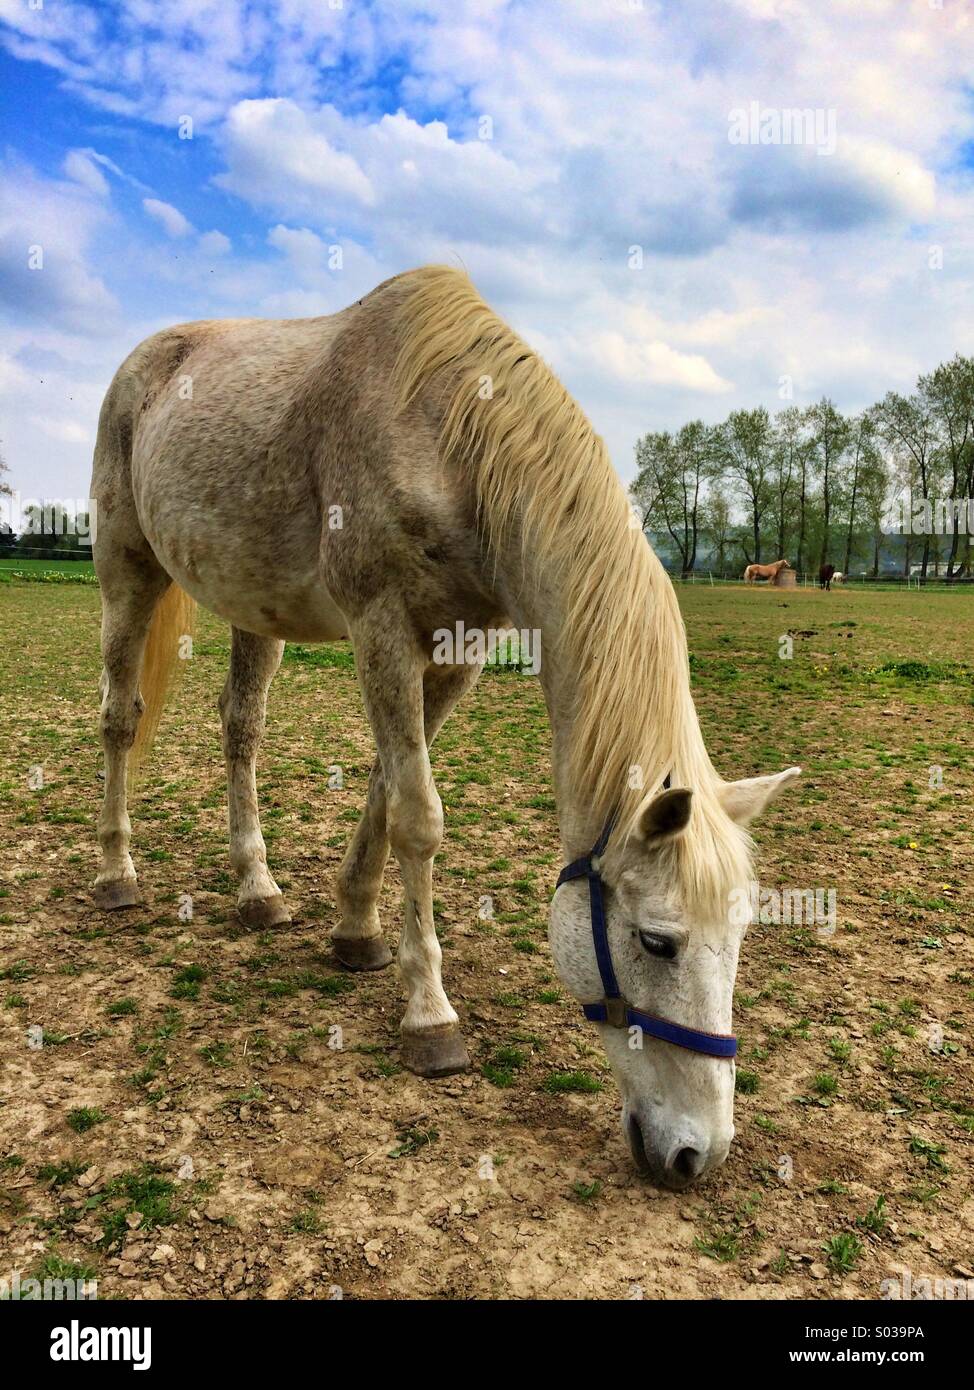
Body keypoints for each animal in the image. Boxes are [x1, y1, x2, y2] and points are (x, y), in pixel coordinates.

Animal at [90, 265, 800, 1189]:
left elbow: (386, 793)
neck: (450, 442)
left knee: (240, 727)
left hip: (254, 606)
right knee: (121, 718)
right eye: (658, 942)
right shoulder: (382, 630)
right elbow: (419, 818)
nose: (696, 1154)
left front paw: (356, 931)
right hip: (126, 567)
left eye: (742, 934)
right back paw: (117, 872)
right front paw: (429, 1014)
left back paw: (257, 888)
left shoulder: (456, 652)